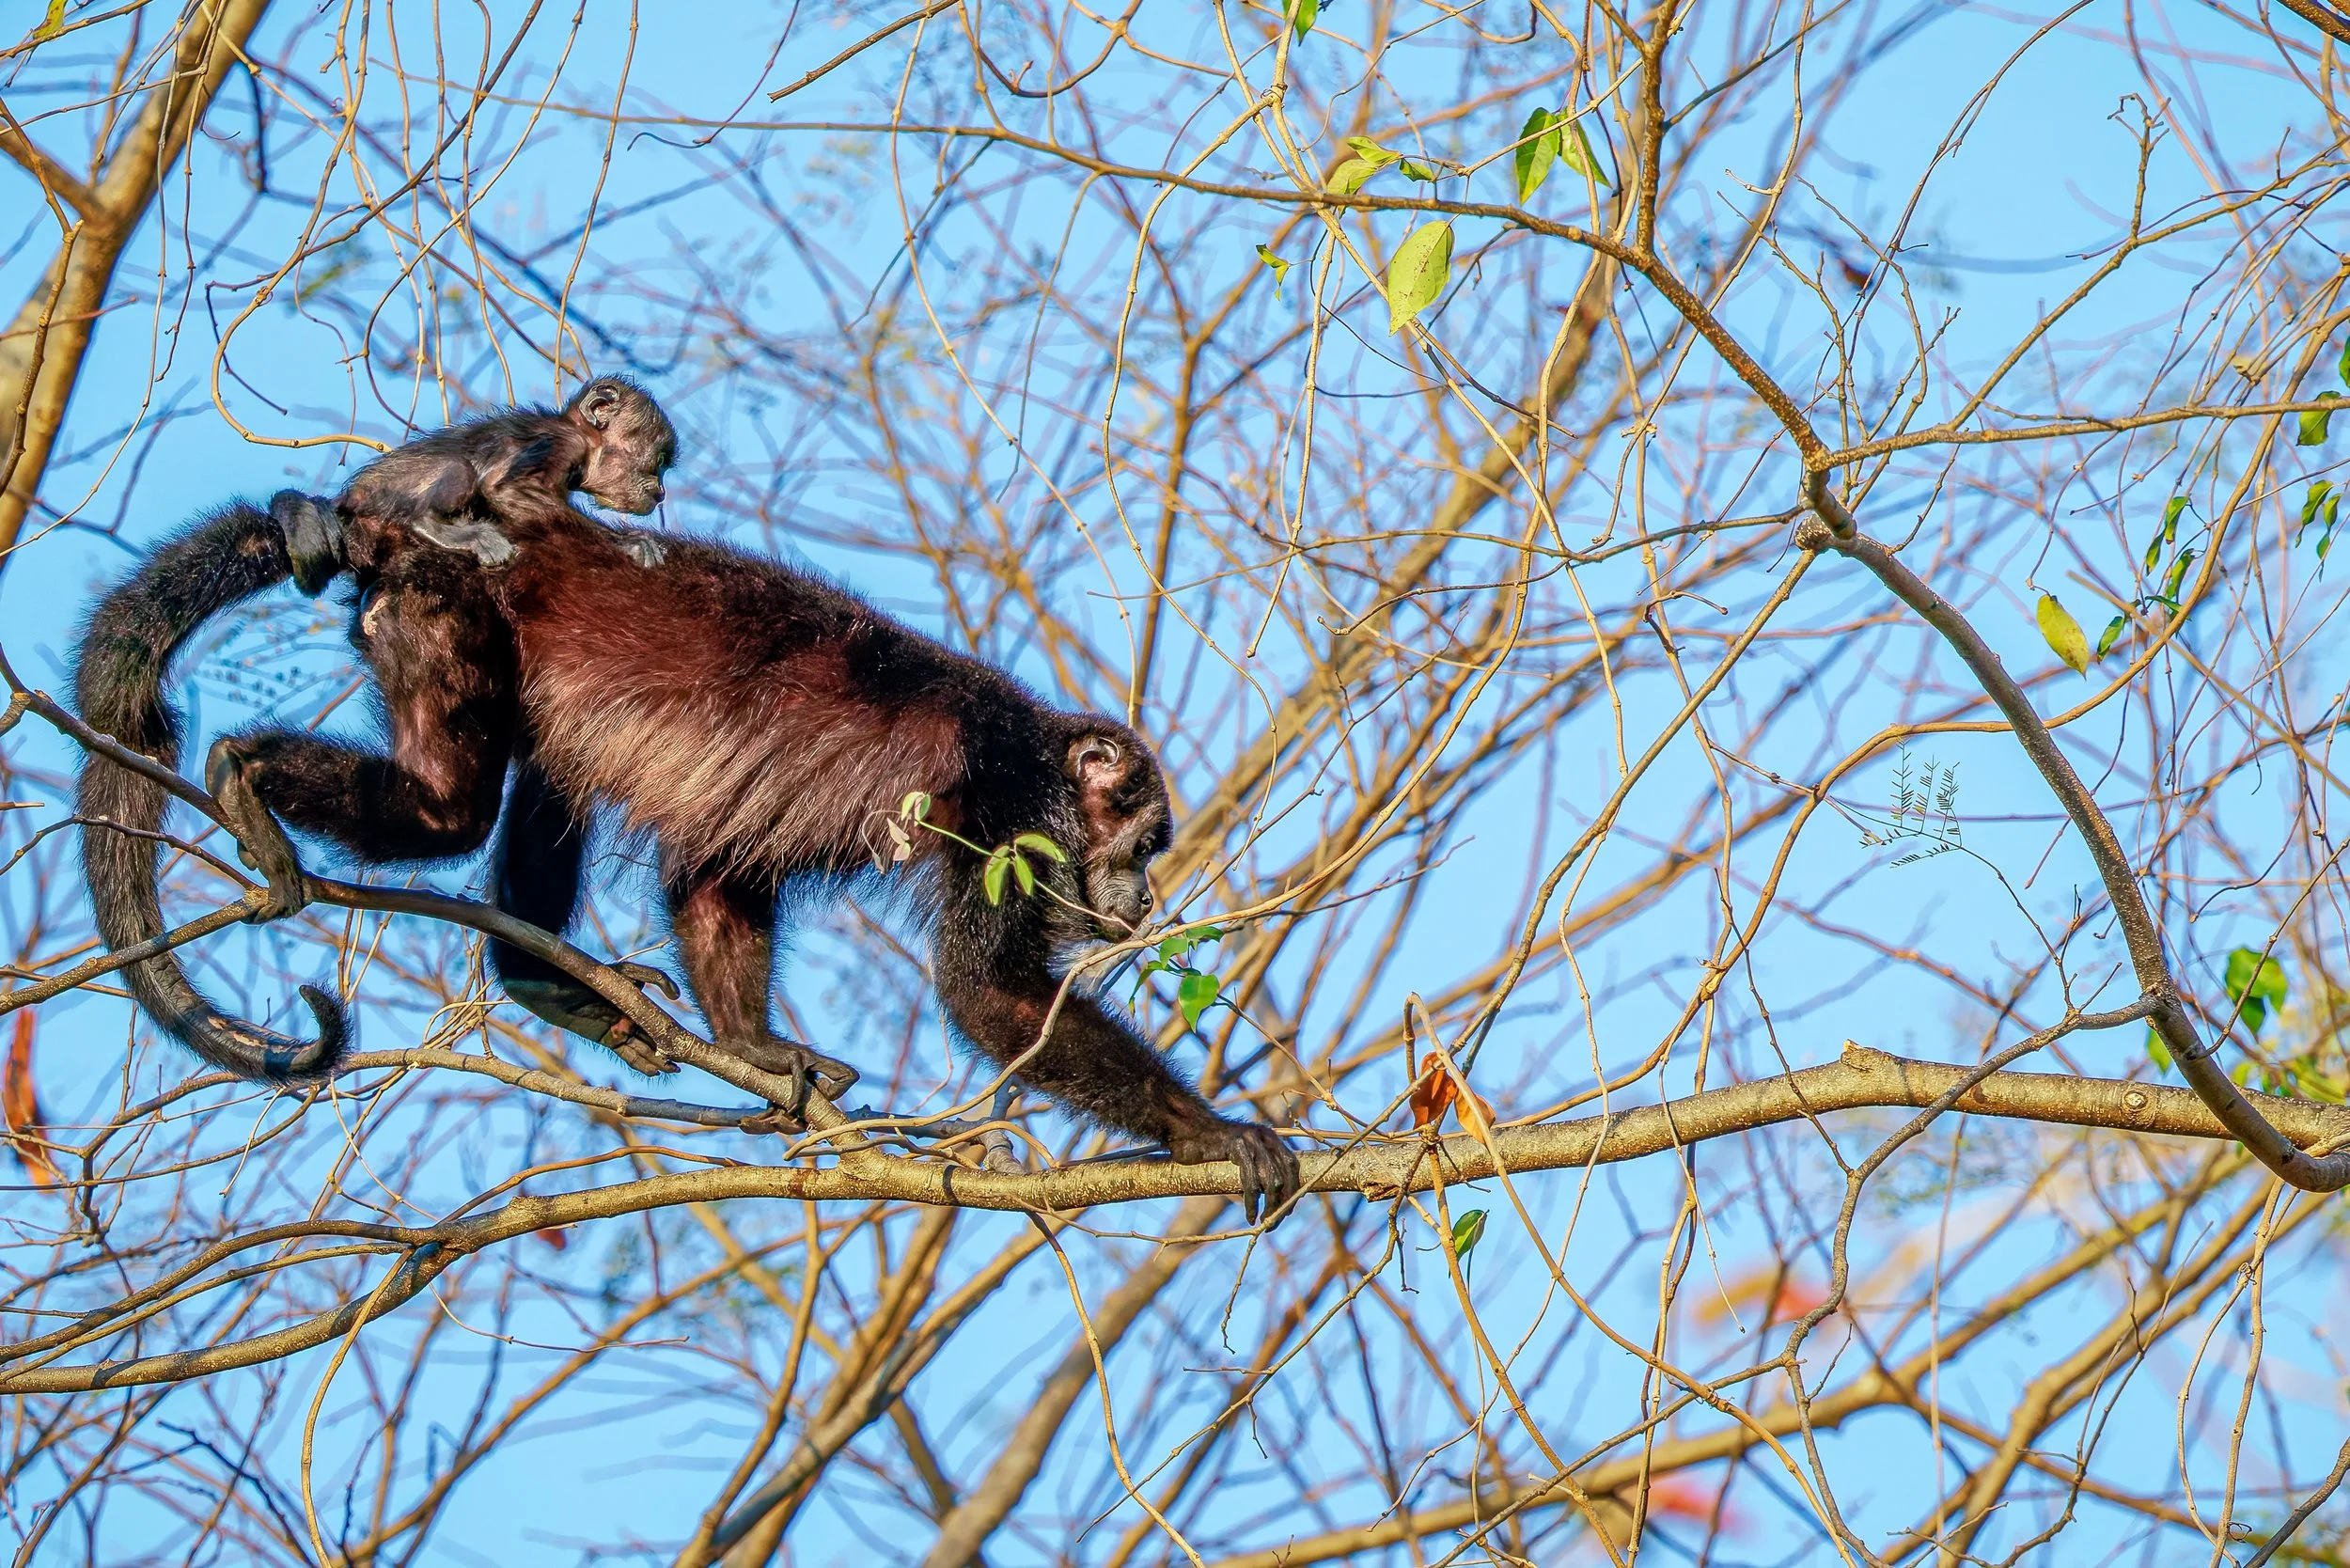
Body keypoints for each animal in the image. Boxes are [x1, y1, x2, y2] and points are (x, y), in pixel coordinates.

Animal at [87, 484, 1303, 1219]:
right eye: (1139, 840)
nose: (1142, 901)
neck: (1039, 743)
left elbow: (720, 868)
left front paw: (756, 1048)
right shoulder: (1012, 809)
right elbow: (986, 995)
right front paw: (1207, 1127)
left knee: (553, 768)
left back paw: (540, 980)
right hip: (437, 608)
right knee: (449, 811)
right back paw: (244, 777)